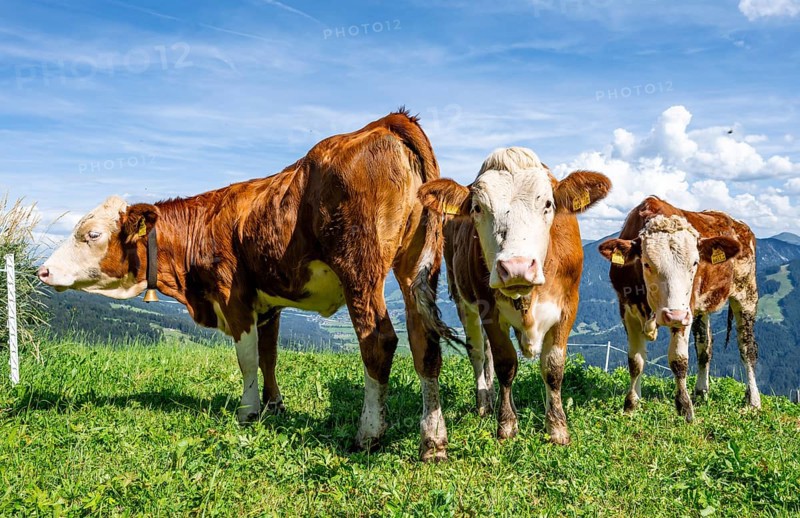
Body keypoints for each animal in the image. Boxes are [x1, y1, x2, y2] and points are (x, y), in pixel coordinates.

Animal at [38, 109, 458, 462]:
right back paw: (433, 441)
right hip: (414, 268)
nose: (42, 271)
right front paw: (274, 405)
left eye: (91, 234)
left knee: (379, 341)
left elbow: (246, 358)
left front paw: (249, 411)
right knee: (424, 345)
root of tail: (386, 121)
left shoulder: (233, 297)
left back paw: (368, 433)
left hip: (360, 267)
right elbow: (269, 356)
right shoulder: (269, 304)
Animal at [418, 147, 611, 444]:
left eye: (548, 204)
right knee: (478, 351)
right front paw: (507, 424)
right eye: (477, 208)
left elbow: (553, 367)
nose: (516, 267)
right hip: (463, 300)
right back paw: (485, 402)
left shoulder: (569, 306)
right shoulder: (488, 310)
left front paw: (557, 427)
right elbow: (505, 364)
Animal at [598, 196, 761, 422]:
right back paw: (701, 392)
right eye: (646, 264)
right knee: (705, 347)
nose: (673, 314)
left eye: (695, 262)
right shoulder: (627, 310)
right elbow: (635, 361)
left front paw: (685, 408)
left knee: (747, 348)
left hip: (746, 293)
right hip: (700, 309)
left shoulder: (684, 311)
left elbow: (678, 360)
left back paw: (753, 401)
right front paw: (631, 404)